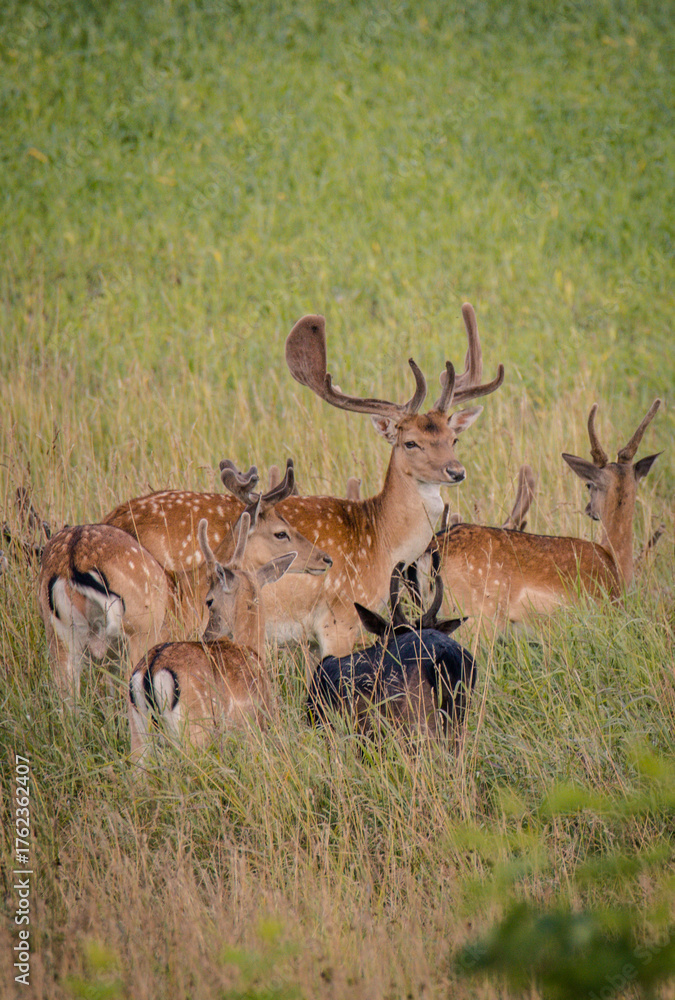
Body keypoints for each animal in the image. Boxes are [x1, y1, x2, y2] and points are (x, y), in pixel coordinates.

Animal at [128, 513, 295, 763]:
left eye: (209, 601)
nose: (207, 635)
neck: (252, 650)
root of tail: (151, 670)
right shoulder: (254, 725)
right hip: (195, 729)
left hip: (137, 732)